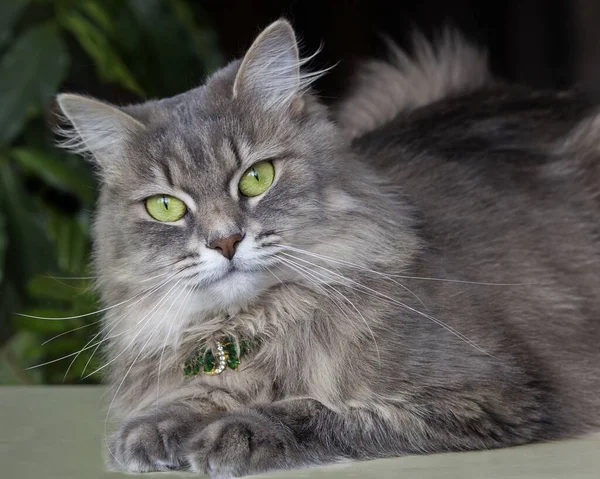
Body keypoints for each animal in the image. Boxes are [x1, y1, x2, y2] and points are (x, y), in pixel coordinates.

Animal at [56, 18, 600, 479]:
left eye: (257, 177)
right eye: (166, 207)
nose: (225, 240)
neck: (254, 325)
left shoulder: (488, 396)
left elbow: (321, 409)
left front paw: (240, 429)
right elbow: (193, 397)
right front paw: (157, 427)